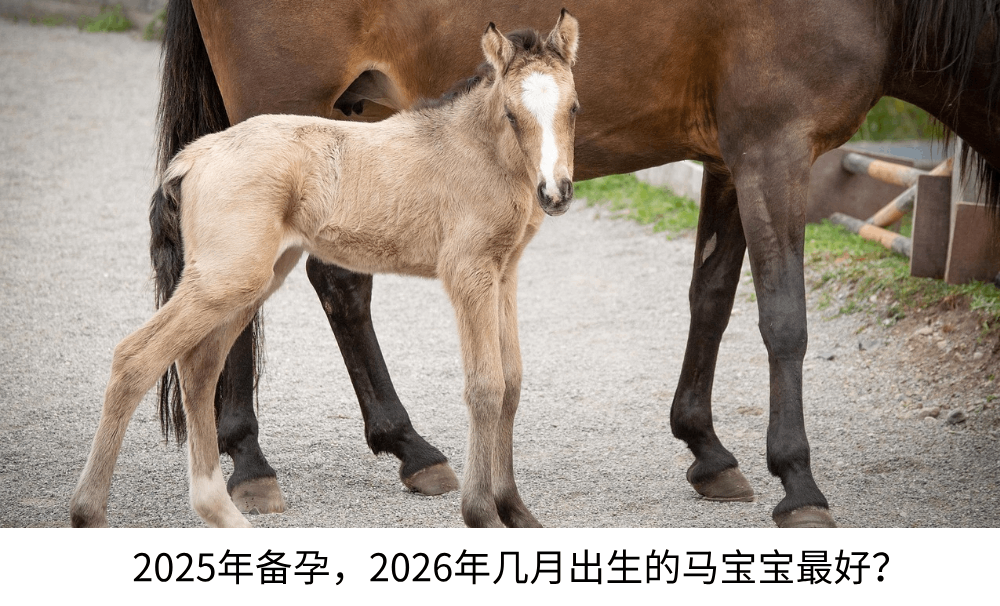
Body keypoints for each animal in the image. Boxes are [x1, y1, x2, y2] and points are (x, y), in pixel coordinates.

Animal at [69, 12, 580, 528]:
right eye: (512, 115)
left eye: (574, 109)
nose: (555, 193)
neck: (474, 151)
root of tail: (194, 156)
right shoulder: (468, 273)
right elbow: (485, 386)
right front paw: (483, 514)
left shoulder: (504, 272)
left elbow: (511, 383)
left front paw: (516, 510)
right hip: (224, 278)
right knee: (136, 358)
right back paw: (88, 512)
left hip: (250, 279)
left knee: (198, 368)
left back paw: (222, 512)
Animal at [153, 0, 1000, 528]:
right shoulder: (775, 151)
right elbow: (783, 320)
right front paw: (798, 481)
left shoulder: (730, 159)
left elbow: (712, 296)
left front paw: (706, 450)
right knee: (261, 293)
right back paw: (252, 462)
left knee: (330, 283)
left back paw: (410, 450)